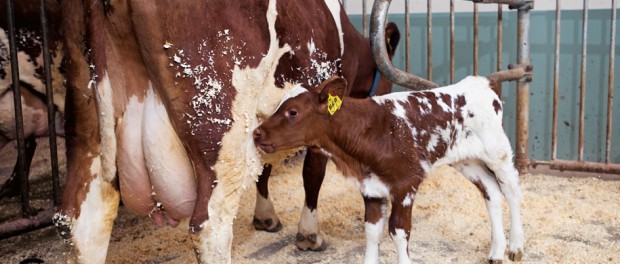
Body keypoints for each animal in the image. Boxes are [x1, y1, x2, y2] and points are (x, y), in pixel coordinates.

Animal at [53, 1, 400, 262]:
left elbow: (265, 171)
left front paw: (265, 217)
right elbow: (312, 175)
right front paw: (309, 234)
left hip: (86, 121)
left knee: (84, 223)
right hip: (218, 127)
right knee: (211, 225)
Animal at [254, 75, 524, 262]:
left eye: (293, 112)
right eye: (278, 105)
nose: (257, 133)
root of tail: (480, 81)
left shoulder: (406, 184)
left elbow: (399, 231)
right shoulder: (371, 189)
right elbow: (373, 231)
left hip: (498, 152)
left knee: (512, 190)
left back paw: (515, 247)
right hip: (466, 160)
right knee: (491, 191)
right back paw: (496, 252)